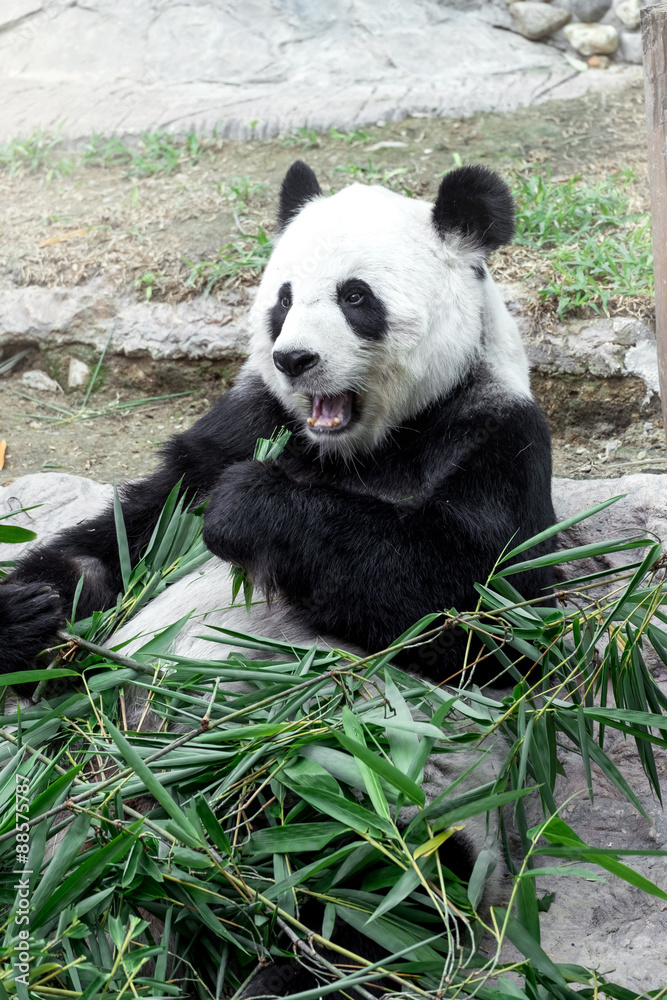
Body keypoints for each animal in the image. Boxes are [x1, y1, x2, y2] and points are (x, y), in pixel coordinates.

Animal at [0, 161, 555, 990]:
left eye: (356, 298)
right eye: (283, 299)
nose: (295, 360)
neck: (358, 449)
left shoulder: (497, 446)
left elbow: (489, 629)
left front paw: (253, 508)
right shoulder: (244, 423)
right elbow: (126, 538)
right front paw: (28, 612)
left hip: (371, 778)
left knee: (369, 877)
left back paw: (279, 959)